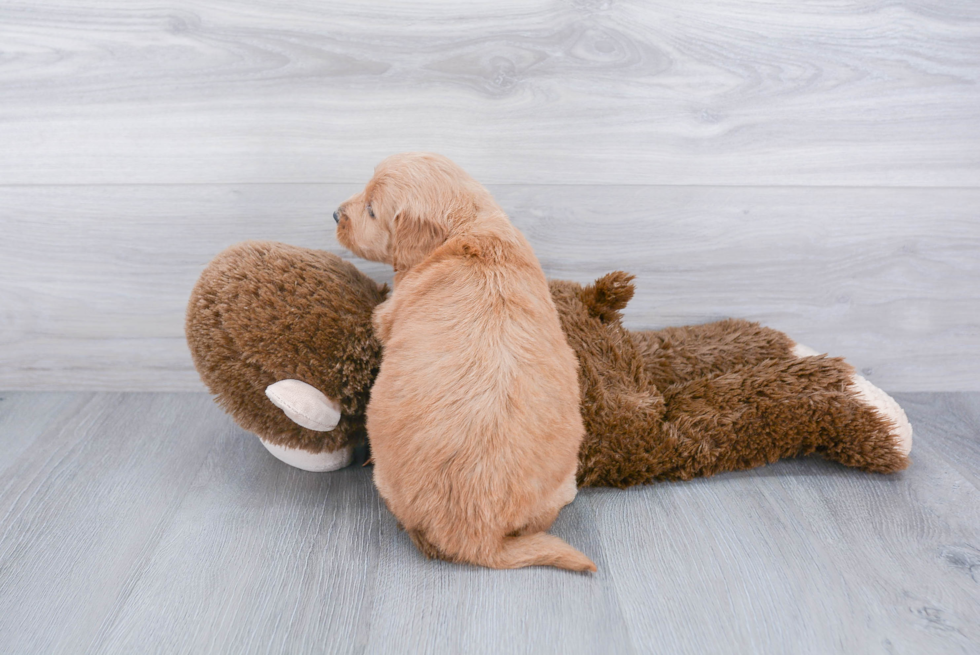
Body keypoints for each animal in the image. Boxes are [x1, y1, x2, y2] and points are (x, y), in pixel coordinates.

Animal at [334, 154, 596, 576]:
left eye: (372, 210)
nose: (335, 214)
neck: (469, 227)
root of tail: (478, 537)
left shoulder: (389, 314)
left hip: (388, 478)